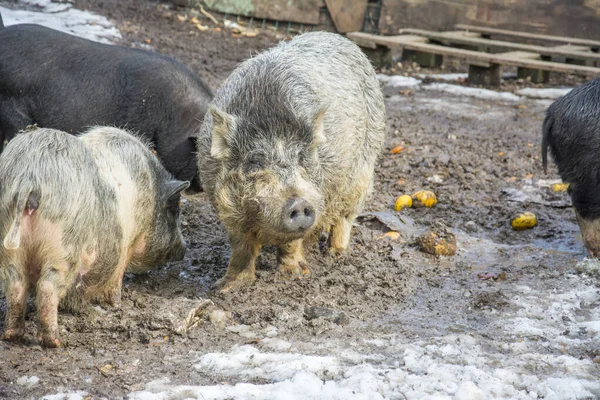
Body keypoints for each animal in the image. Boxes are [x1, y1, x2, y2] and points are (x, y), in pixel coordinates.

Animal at [0, 126, 188, 346]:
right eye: (175, 210)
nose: (184, 249)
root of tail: (28, 179)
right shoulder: (126, 246)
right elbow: (117, 277)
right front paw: (116, 304)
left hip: (8, 239)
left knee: (15, 285)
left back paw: (12, 336)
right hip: (63, 244)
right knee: (48, 288)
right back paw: (54, 342)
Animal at [196, 32, 384, 290]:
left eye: (301, 157)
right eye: (255, 162)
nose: (299, 202)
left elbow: (291, 242)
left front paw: (291, 276)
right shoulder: (222, 204)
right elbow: (241, 246)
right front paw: (227, 287)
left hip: (364, 168)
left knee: (346, 216)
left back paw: (335, 254)